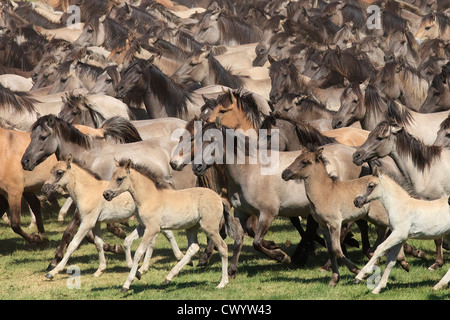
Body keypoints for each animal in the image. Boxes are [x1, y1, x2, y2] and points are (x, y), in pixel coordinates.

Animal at [40, 156, 184, 282]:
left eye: (59, 172)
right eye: (50, 171)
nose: (44, 189)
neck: (88, 190)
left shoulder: (87, 222)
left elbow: (72, 245)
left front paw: (53, 272)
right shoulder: (96, 223)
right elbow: (98, 244)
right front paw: (100, 270)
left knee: (163, 235)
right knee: (164, 234)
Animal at [103, 158, 236, 292]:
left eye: (119, 178)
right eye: (112, 176)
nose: (106, 194)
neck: (149, 198)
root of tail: (219, 198)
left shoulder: (152, 229)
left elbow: (139, 252)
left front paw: (127, 284)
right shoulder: (142, 227)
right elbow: (127, 241)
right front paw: (137, 273)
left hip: (210, 228)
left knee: (223, 248)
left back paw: (222, 283)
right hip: (192, 227)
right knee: (193, 247)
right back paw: (168, 278)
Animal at [284, 147, 410, 284]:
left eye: (304, 162)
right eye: (296, 159)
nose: (284, 173)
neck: (324, 192)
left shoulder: (335, 224)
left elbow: (336, 250)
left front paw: (357, 271)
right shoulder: (323, 225)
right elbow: (330, 250)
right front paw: (334, 279)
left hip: (379, 215)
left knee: (393, 229)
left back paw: (402, 261)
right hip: (369, 216)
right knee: (383, 230)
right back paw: (374, 256)